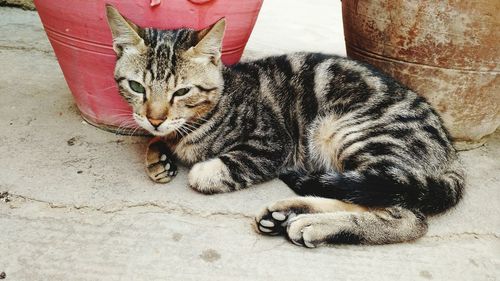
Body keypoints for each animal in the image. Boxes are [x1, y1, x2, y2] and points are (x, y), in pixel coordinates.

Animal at [105, 5, 464, 246]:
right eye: (137, 87)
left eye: (181, 92)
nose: (155, 117)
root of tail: (451, 154)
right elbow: (158, 141)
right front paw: (158, 155)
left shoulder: (272, 144)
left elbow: (210, 170)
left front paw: (193, 163)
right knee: (364, 192)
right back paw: (287, 214)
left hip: (349, 131)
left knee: (407, 216)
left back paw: (314, 225)